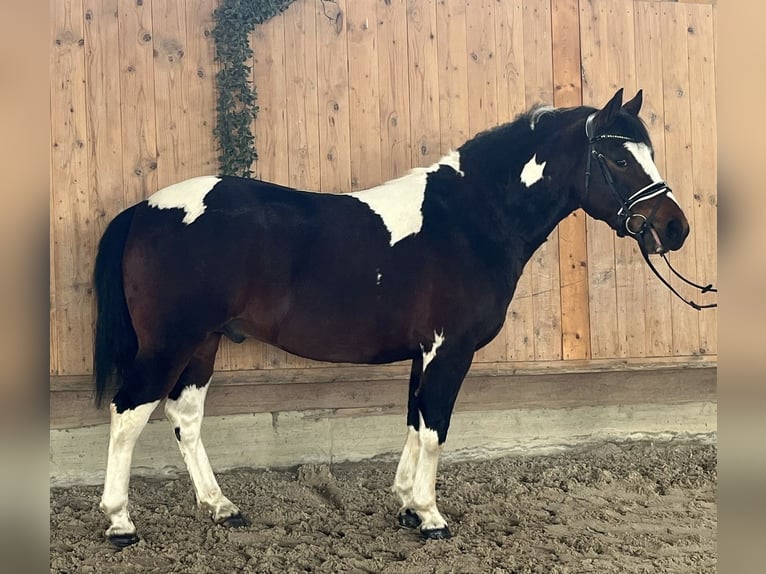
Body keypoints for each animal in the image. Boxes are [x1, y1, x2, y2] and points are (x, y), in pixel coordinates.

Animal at [92, 89, 690, 547]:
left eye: (649, 154)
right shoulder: (449, 351)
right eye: (619, 160)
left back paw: (221, 506)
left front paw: (405, 504)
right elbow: (435, 428)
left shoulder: (424, 353)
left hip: (203, 343)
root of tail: (144, 209)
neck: (469, 220)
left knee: (184, 417)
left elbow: (414, 421)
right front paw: (430, 516)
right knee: (128, 413)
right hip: (170, 343)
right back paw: (120, 522)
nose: (675, 228)